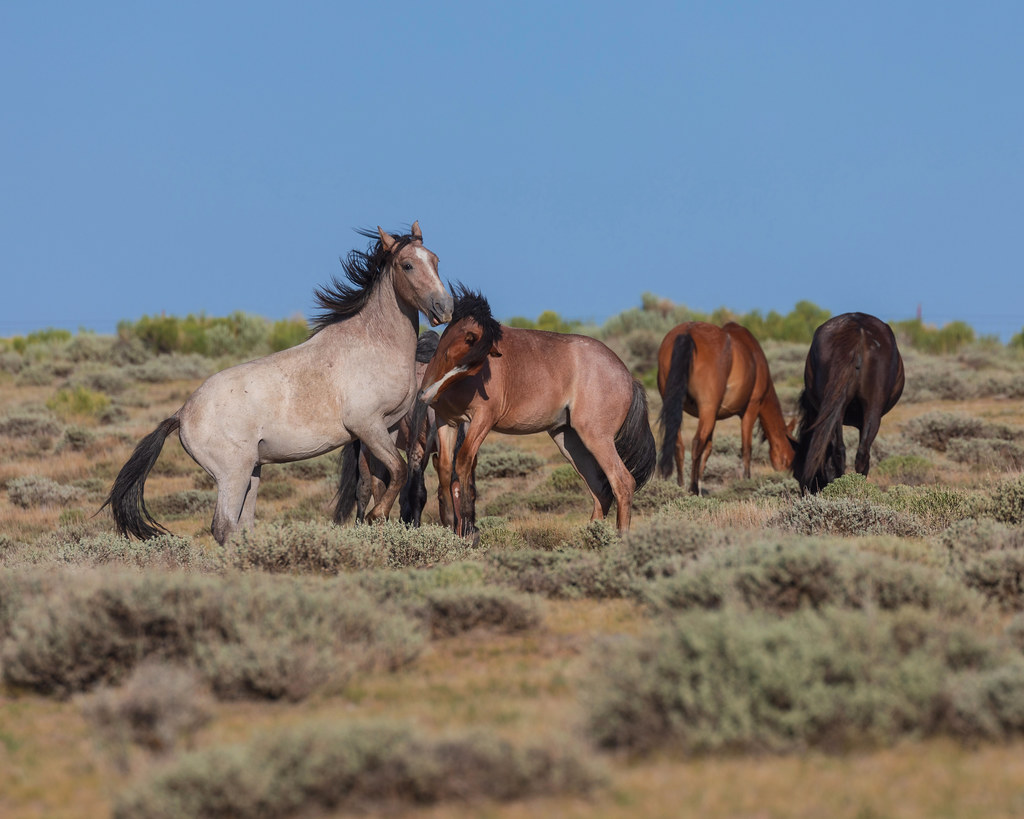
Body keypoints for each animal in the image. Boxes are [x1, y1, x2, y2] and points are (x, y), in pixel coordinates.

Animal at [411, 286, 656, 536]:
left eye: (475, 364)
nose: (427, 394)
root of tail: (628, 377)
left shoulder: (481, 421)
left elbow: (463, 463)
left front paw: (465, 530)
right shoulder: (446, 422)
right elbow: (444, 469)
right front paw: (451, 525)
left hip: (597, 438)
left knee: (622, 482)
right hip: (568, 439)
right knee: (600, 490)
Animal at [656, 321, 795, 494]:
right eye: (790, 458)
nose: (787, 474)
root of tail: (687, 333)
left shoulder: (713, 416)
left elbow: (708, 449)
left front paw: (700, 482)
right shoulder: (751, 409)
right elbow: (746, 448)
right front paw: (747, 479)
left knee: (679, 445)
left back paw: (681, 485)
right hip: (707, 409)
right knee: (696, 443)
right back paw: (692, 488)